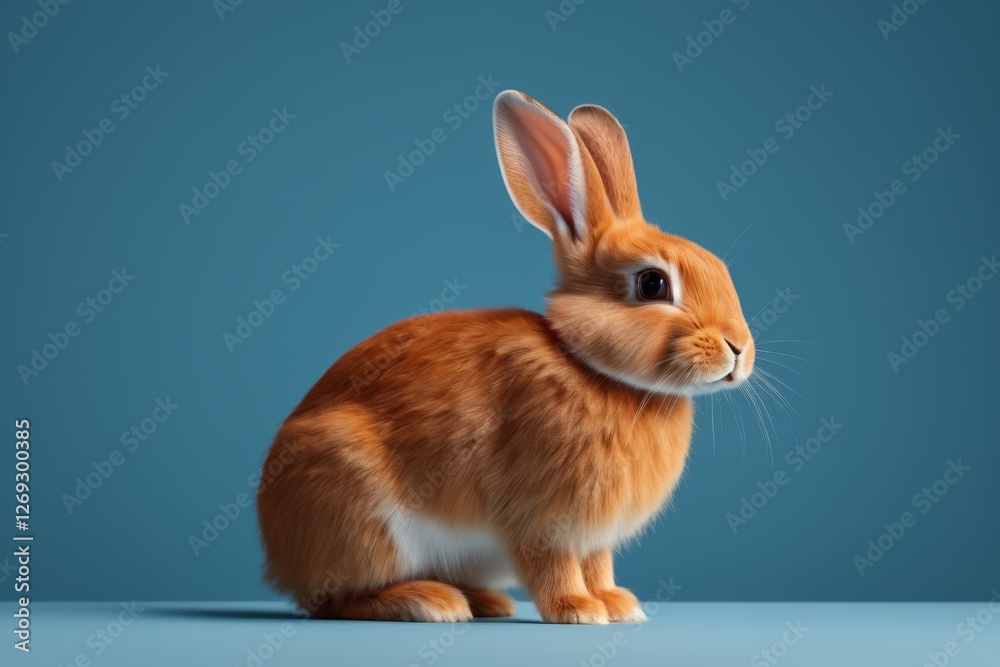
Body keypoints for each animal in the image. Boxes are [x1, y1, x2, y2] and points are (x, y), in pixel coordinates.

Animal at [257, 90, 754, 624]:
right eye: (652, 284)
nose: (739, 350)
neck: (592, 369)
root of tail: (278, 555)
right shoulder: (541, 522)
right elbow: (552, 566)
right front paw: (578, 610)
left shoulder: (594, 537)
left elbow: (598, 564)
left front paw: (617, 604)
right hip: (362, 518)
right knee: (334, 601)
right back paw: (431, 602)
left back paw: (486, 602)